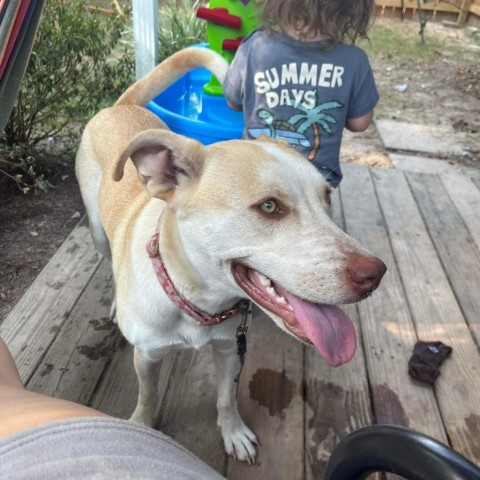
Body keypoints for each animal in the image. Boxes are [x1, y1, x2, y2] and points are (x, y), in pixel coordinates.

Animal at [77, 47, 388, 464]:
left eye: (327, 197)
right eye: (270, 207)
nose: (375, 274)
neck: (197, 301)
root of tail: (121, 106)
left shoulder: (229, 350)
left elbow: (226, 398)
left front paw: (234, 433)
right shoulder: (148, 357)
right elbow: (148, 396)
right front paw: (141, 427)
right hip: (97, 231)